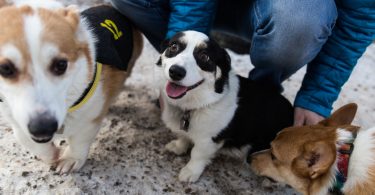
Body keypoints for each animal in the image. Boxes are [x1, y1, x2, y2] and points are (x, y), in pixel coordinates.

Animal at [0, 0, 142, 174]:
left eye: (61, 65)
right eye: (5, 68)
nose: (43, 128)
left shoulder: (90, 118)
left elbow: (79, 140)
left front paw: (70, 159)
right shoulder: (16, 121)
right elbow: (28, 140)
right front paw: (51, 154)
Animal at [157, 30, 296, 183]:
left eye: (204, 56)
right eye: (173, 47)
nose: (176, 72)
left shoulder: (209, 140)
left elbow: (197, 155)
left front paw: (190, 171)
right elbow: (183, 137)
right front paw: (178, 146)